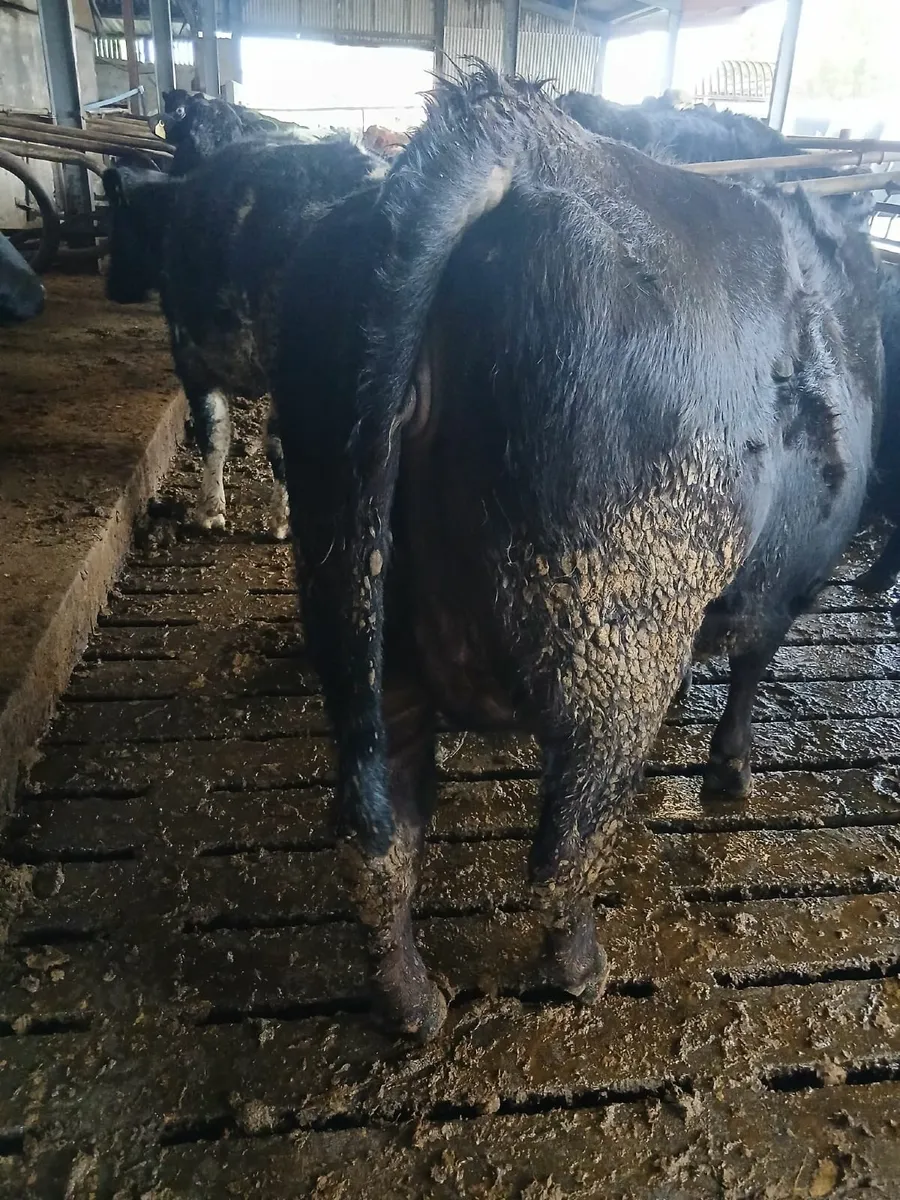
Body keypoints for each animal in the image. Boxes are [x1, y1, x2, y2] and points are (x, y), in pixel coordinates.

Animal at [272, 68, 882, 1040]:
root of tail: (511, 137)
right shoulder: (789, 576)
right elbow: (753, 664)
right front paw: (731, 771)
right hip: (615, 642)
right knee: (561, 849)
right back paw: (580, 969)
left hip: (350, 608)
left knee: (378, 834)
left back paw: (412, 1002)